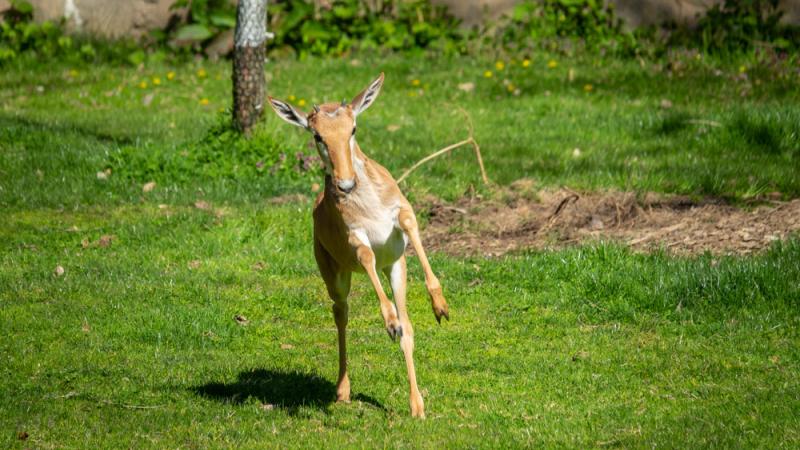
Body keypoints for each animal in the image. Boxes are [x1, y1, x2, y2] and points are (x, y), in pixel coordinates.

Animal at [270, 72, 450, 416]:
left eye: (352, 128)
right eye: (317, 135)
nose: (345, 183)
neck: (369, 205)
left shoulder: (400, 211)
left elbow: (411, 223)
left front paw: (440, 307)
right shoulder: (353, 234)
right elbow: (366, 254)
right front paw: (389, 322)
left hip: (396, 268)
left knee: (408, 325)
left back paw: (416, 405)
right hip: (332, 272)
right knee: (341, 312)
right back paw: (342, 390)